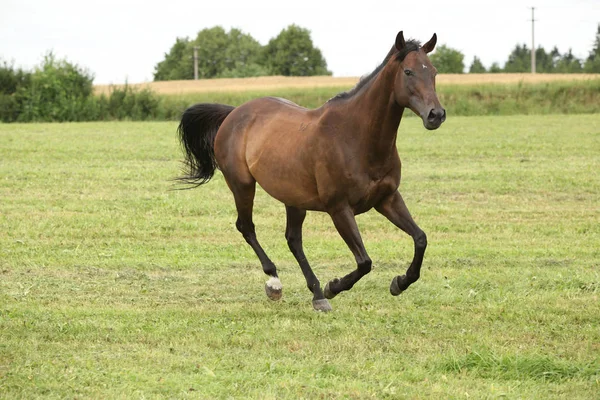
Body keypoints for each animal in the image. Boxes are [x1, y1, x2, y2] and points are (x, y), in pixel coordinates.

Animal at [178, 31, 446, 312]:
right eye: (408, 71)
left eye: (434, 72)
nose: (436, 115)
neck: (355, 137)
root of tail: (233, 113)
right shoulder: (339, 208)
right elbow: (364, 261)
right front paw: (333, 287)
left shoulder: (387, 199)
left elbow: (420, 238)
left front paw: (399, 282)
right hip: (242, 185)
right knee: (247, 227)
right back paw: (276, 283)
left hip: (293, 198)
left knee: (293, 239)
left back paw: (315, 293)